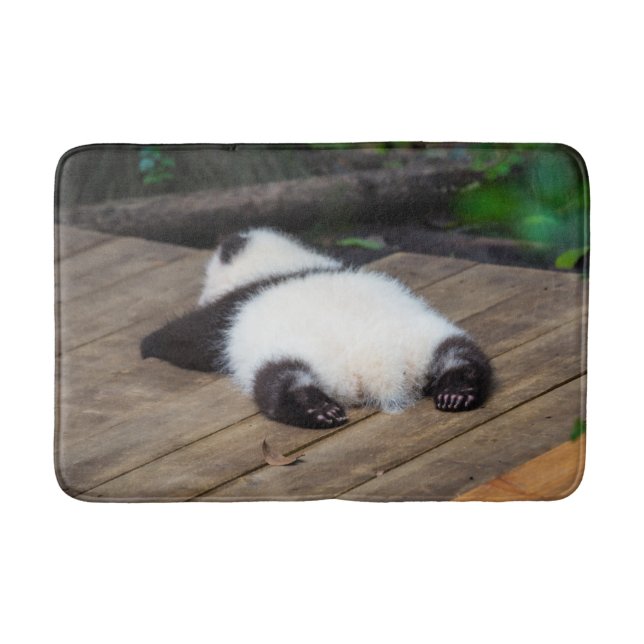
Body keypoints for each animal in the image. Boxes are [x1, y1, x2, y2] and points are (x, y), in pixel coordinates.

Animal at [141, 228, 491, 429]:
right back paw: (457, 391)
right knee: (462, 355)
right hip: (426, 337)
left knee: (279, 381)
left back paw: (316, 410)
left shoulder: (231, 310)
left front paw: (148, 345)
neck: (280, 264)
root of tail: (379, 367)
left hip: (293, 354)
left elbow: (190, 338)